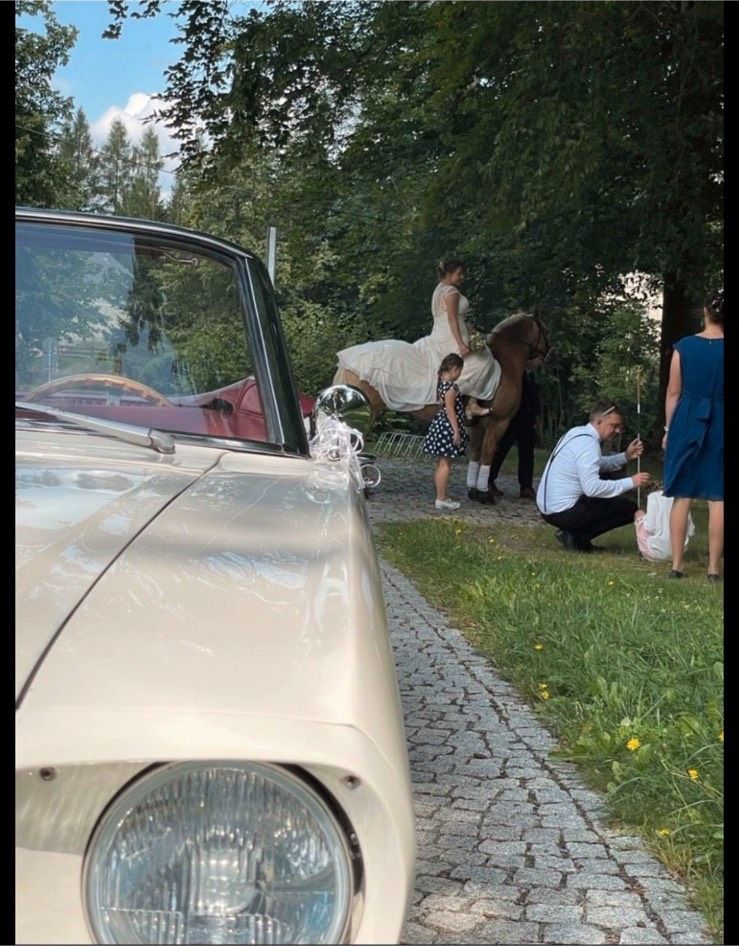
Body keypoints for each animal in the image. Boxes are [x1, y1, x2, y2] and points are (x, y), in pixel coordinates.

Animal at [334, 310, 548, 502]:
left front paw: (473, 491)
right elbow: (487, 457)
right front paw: (484, 494)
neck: (505, 365)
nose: (547, 354)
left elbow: (476, 456)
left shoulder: (478, 427)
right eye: (544, 330)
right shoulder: (498, 424)